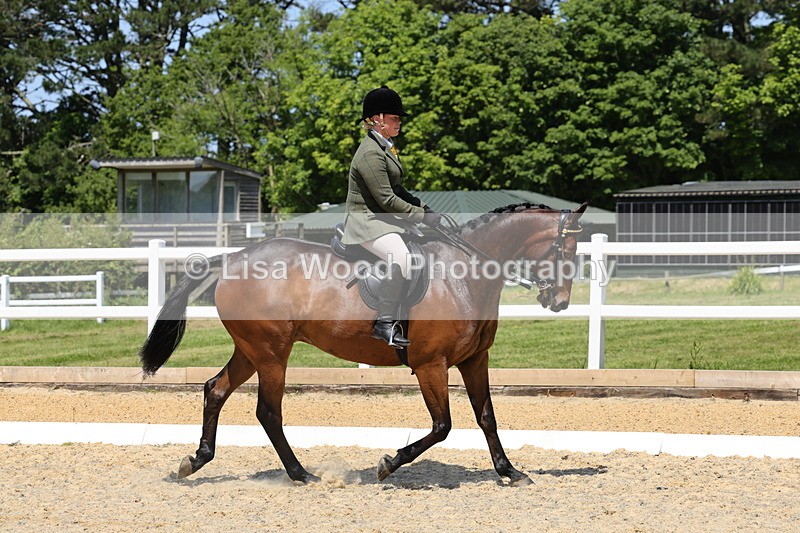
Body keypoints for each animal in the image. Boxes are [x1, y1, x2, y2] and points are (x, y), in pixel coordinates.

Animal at [140, 202, 588, 485]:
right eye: (564, 250)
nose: (559, 302)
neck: (466, 274)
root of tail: (233, 257)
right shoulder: (431, 364)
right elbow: (442, 425)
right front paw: (388, 464)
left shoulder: (475, 360)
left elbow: (487, 418)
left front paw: (509, 471)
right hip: (271, 353)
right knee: (268, 412)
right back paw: (302, 474)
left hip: (251, 351)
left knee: (215, 390)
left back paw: (195, 461)